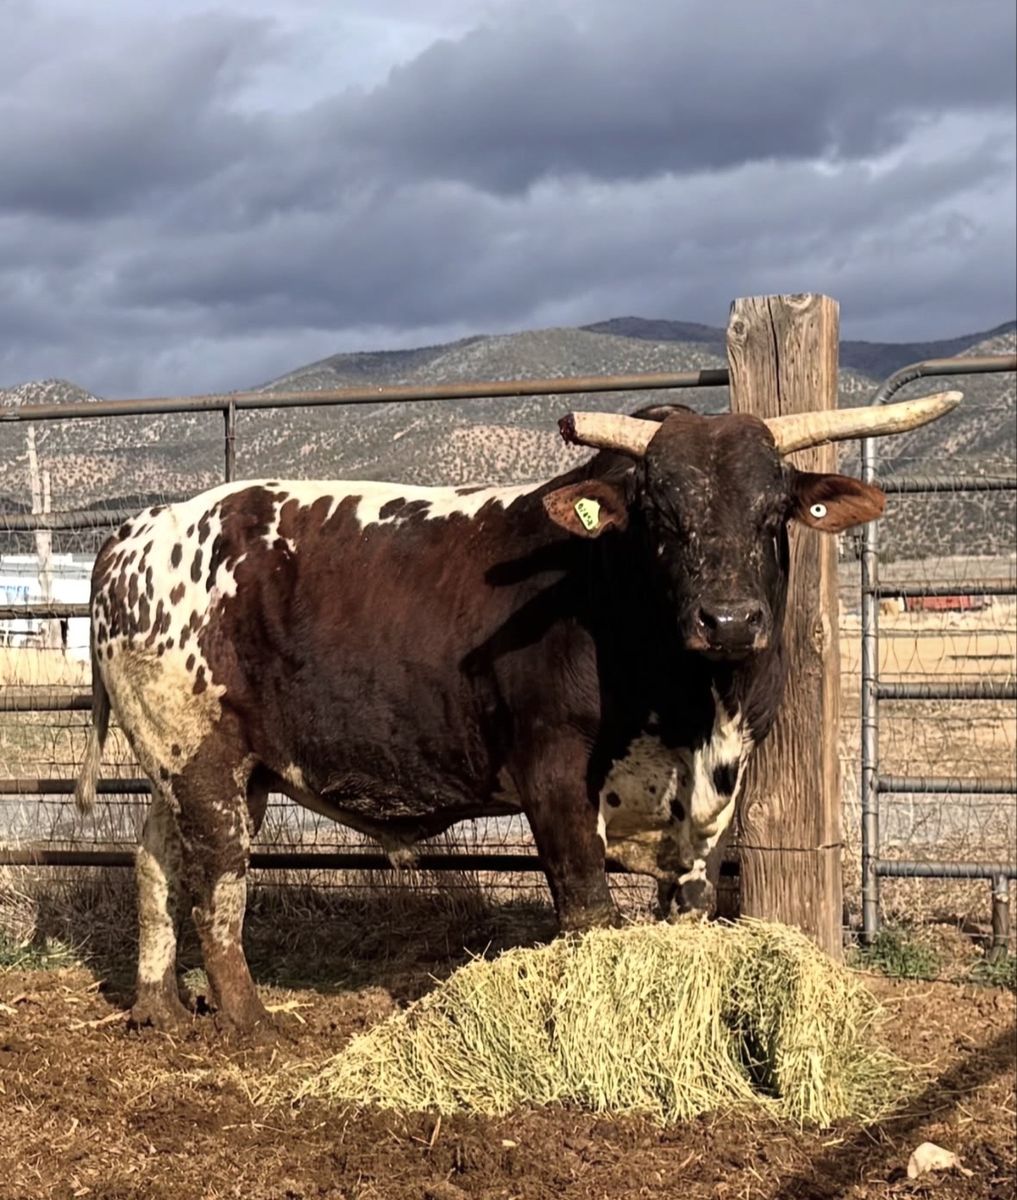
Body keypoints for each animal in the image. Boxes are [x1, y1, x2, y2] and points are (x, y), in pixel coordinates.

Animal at [74, 391, 959, 1031]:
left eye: (773, 512)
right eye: (659, 516)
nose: (730, 620)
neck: (693, 710)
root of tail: (137, 531)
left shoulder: (711, 808)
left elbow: (690, 908)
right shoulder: (554, 780)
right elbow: (588, 908)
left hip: (200, 763)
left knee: (155, 858)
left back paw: (157, 1005)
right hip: (204, 757)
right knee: (218, 881)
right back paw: (251, 1018)